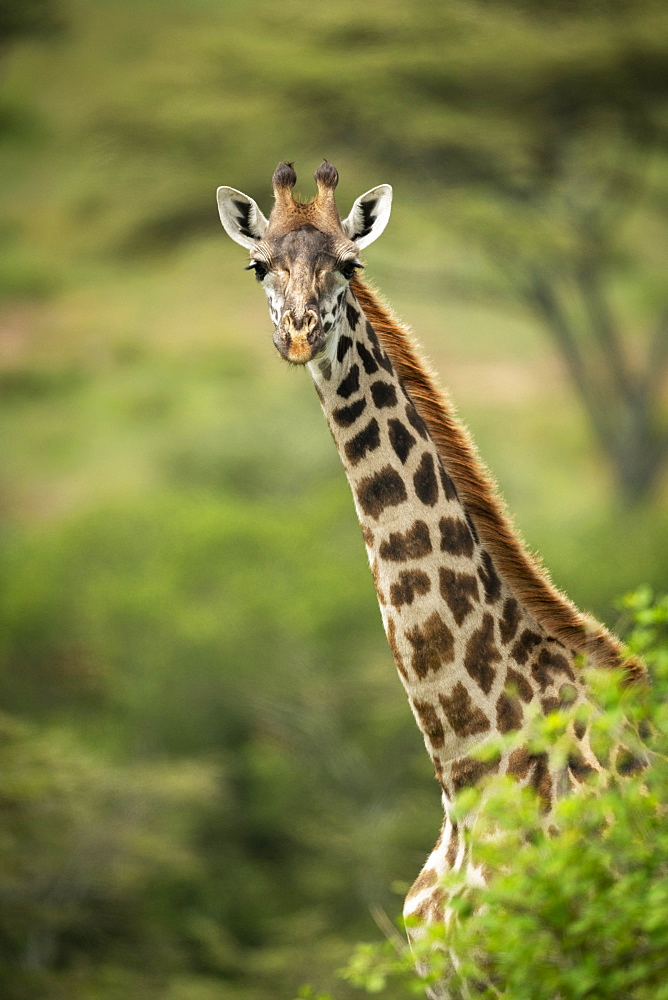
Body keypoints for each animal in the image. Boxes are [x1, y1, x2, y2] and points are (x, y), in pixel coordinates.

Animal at [217, 162, 644, 992]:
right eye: (258, 265)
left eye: (351, 264)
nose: (299, 334)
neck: (467, 763)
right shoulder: (453, 977)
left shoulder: (560, 963)